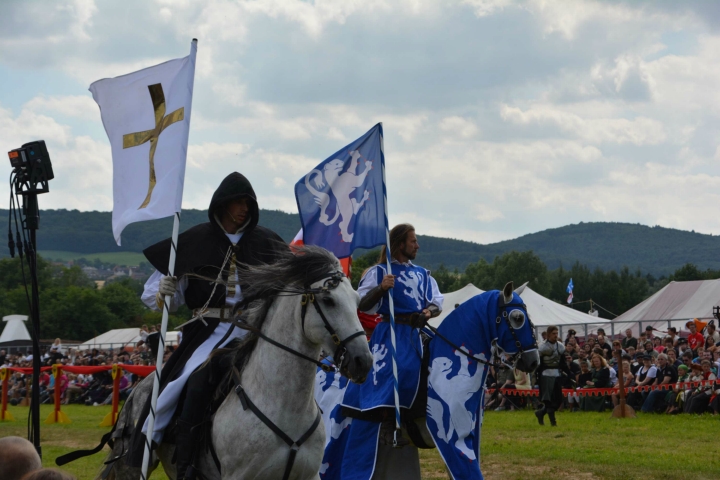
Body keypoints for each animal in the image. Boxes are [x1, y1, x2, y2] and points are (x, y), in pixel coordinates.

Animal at [97, 248, 372, 480]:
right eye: (328, 300)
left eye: (357, 301)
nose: (363, 361)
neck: (284, 407)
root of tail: (139, 388)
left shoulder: (309, 476)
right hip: (132, 466)